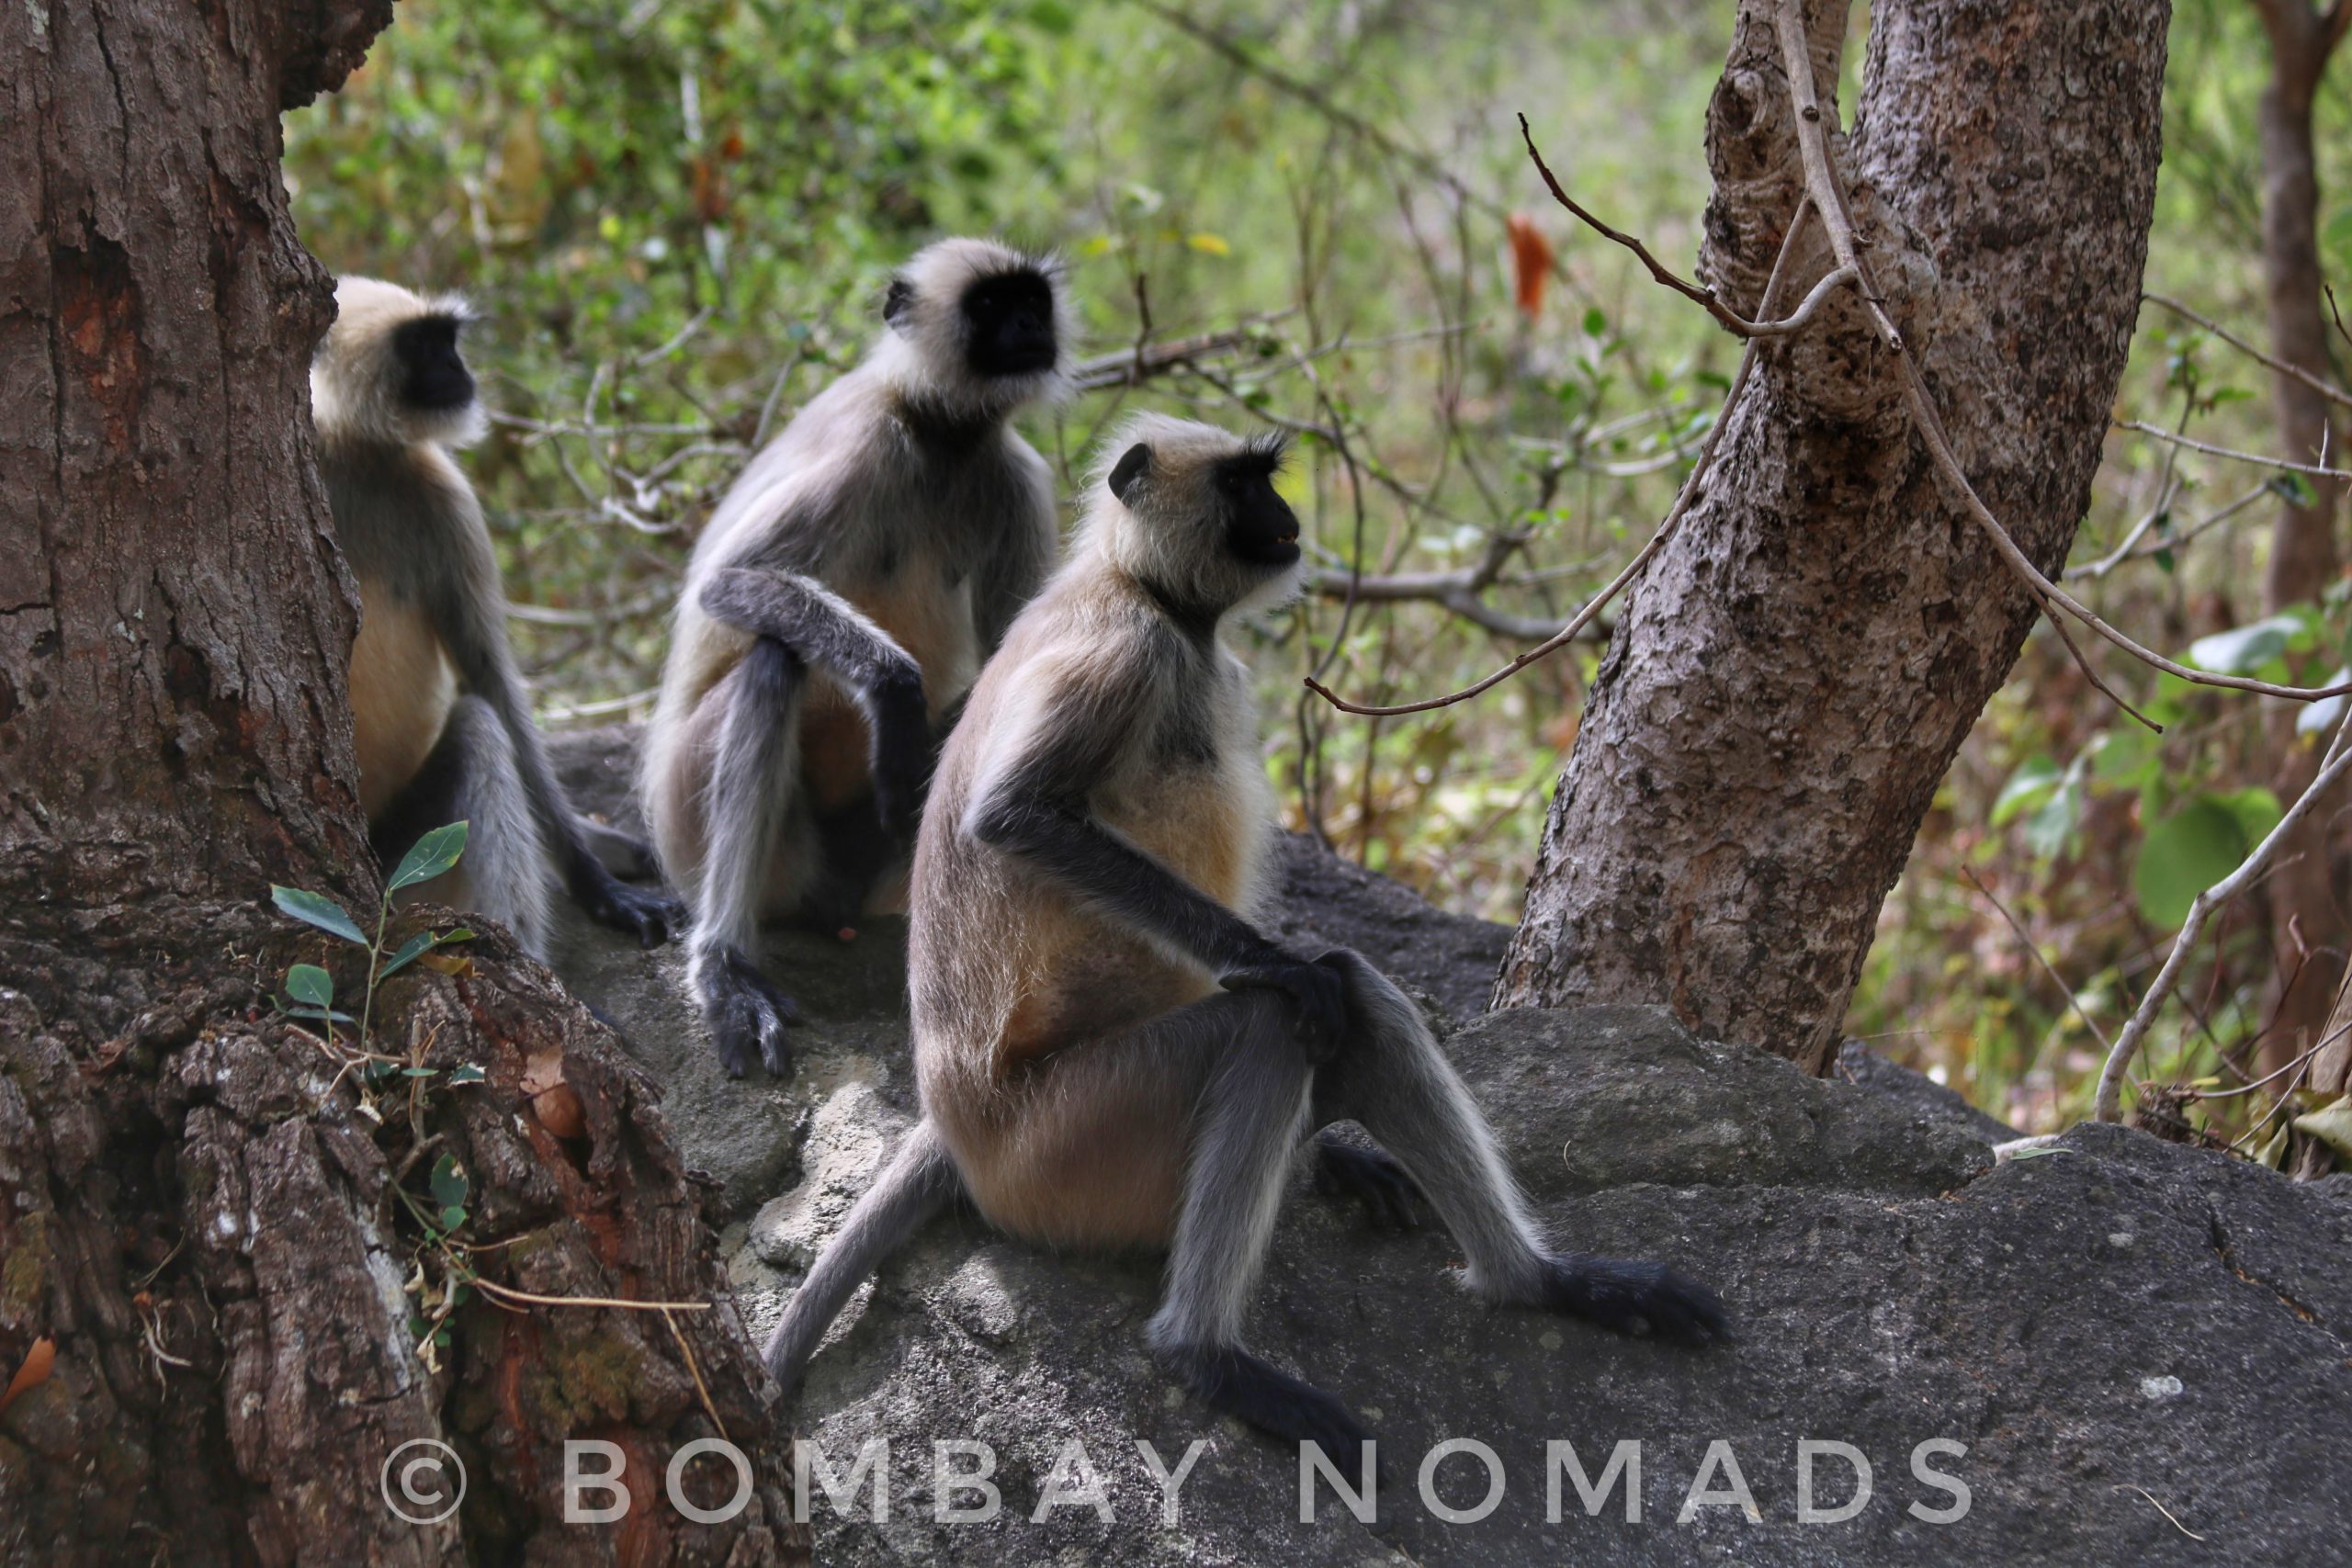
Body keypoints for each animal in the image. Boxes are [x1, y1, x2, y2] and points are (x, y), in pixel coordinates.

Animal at [310, 276, 682, 959]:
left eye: (448, 339)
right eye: (422, 345)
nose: (458, 369)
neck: (350, 450)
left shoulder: (446, 499)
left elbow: (491, 678)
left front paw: (598, 883)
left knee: (480, 728)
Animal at [644, 240, 1068, 1081]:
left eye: (1032, 302)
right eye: (992, 307)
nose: (1031, 328)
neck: (940, 434)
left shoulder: (1012, 476)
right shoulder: (865, 445)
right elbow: (726, 581)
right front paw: (892, 688)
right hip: (691, 815)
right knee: (775, 658)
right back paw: (725, 961)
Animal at [762, 413, 1740, 1457]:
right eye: (1242, 485)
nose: (1288, 517)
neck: (1143, 590)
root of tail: (955, 1127)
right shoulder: (1126, 652)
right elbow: (1015, 818)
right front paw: (1281, 965)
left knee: (1358, 998)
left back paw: (1540, 1282)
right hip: (1064, 1148)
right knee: (1279, 1020)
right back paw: (1207, 1356)